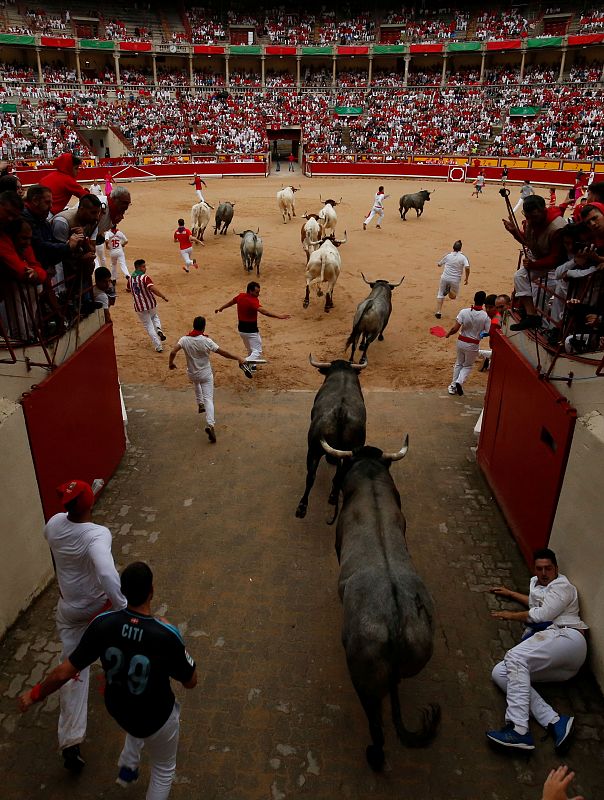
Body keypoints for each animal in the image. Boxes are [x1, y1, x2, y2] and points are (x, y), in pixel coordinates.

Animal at [294, 354, 366, 520]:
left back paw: (302, 507)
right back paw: (333, 496)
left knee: (311, 476)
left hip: (313, 450)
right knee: (339, 475)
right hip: (350, 453)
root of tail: (341, 413)